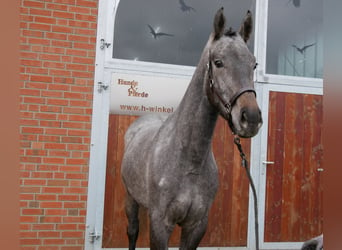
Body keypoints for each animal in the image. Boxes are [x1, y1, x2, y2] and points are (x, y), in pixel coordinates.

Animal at [120, 7, 262, 250]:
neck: (189, 161)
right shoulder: (160, 225)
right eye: (218, 62)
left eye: (253, 64)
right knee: (132, 231)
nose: (251, 118)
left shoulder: (196, 225)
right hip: (131, 198)